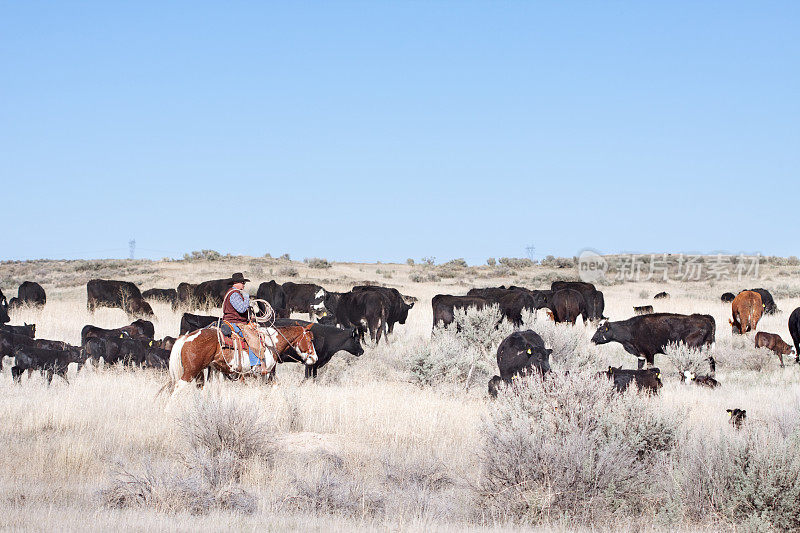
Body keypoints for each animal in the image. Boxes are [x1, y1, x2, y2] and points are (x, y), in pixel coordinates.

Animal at [166, 322, 316, 402]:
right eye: (310, 339)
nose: (315, 358)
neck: (270, 343)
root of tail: (186, 338)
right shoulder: (265, 373)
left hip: (202, 373)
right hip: (191, 371)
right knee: (177, 388)